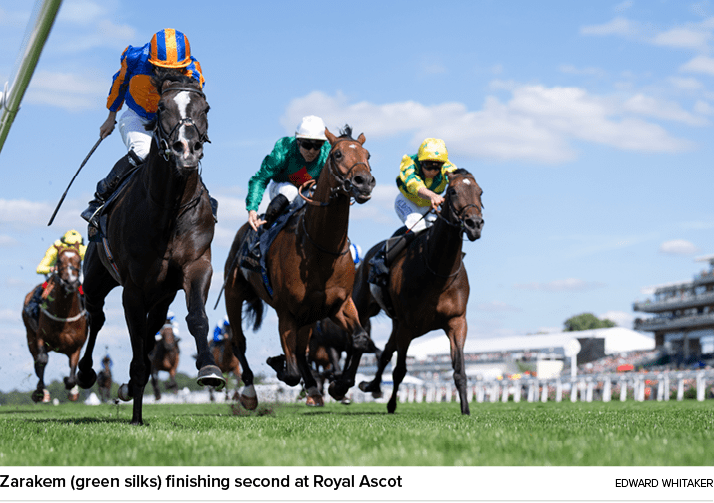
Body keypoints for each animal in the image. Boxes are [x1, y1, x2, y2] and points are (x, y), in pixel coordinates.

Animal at [22, 244, 87, 402]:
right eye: (59, 260)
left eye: (79, 260)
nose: (70, 282)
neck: (64, 317)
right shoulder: (40, 337)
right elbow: (42, 360)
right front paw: (40, 392)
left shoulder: (77, 346)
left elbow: (73, 369)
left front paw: (71, 387)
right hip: (30, 336)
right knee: (38, 361)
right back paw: (42, 393)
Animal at [75, 72, 222, 426]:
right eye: (161, 106)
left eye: (205, 107)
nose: (187, 148)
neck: (170, 208)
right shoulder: (133, 288)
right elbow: (139, 349)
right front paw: (137, 416)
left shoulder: (197, 264)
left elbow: (197, 316)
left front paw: (209, 368)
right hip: (97, 278)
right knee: (97, 316)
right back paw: (87, 373)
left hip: (161, 296)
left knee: (151, 325)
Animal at [225, 126, 376, 410]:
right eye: (338, 154)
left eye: (367, 154)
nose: (364, 181)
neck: (319, 249)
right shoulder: (286, 312)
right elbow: (292, 371)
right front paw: (278, 363)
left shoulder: (339, 304)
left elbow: (361, 341)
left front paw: (339, 386)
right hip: (234, 294)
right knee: (240, 343)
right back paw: (249, 393)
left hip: (309, 316)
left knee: (303, 349)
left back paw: (315, 390)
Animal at [356, 171, 484, 416]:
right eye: (453, 191)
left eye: (480, 191)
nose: (474, 224)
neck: (438, 274)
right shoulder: (407, 327)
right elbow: (399, 370)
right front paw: (391, 404)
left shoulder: (456, 322)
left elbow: (459, 370)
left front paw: (465, 409)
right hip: (365, 308)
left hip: (395, 322)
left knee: (385, 352)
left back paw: (372, 386)